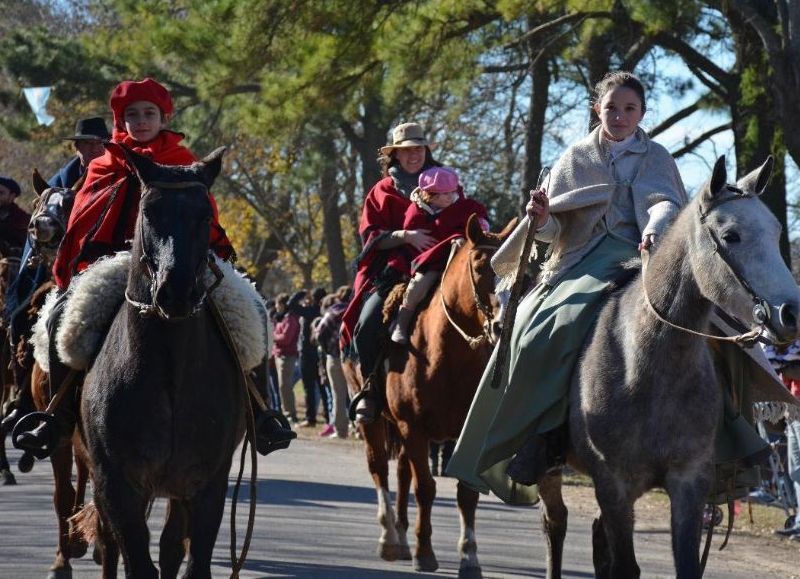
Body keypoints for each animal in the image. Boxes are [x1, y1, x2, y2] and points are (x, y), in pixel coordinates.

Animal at [348, 218, 512, 579]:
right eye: (480, 266)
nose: (502, 325)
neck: (445, 352)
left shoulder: (463, 431)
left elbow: (466, 494)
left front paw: (469, 557)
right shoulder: (413, 427)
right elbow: (425, 488)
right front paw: (425, 552)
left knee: (401, 473)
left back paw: (401, 536)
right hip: (375, 420)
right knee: (379, 468)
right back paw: (390, 538)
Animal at [536, 155, 800, 579]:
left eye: (776, 233)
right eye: (731, 236)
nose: (790, 314)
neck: (649, 368)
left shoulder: (689, 481)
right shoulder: (614, 483)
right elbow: (625, 566)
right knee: (555, 524)